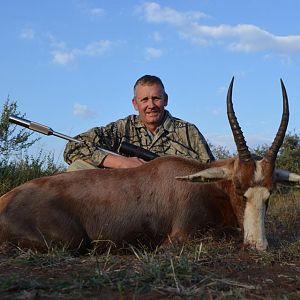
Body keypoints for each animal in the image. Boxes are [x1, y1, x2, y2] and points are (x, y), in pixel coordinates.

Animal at [0, 77, 298, 251]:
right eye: (237, 187)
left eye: (271, 192)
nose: (258, 245)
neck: (206, 187)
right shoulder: (179, 238)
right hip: (71, 241)